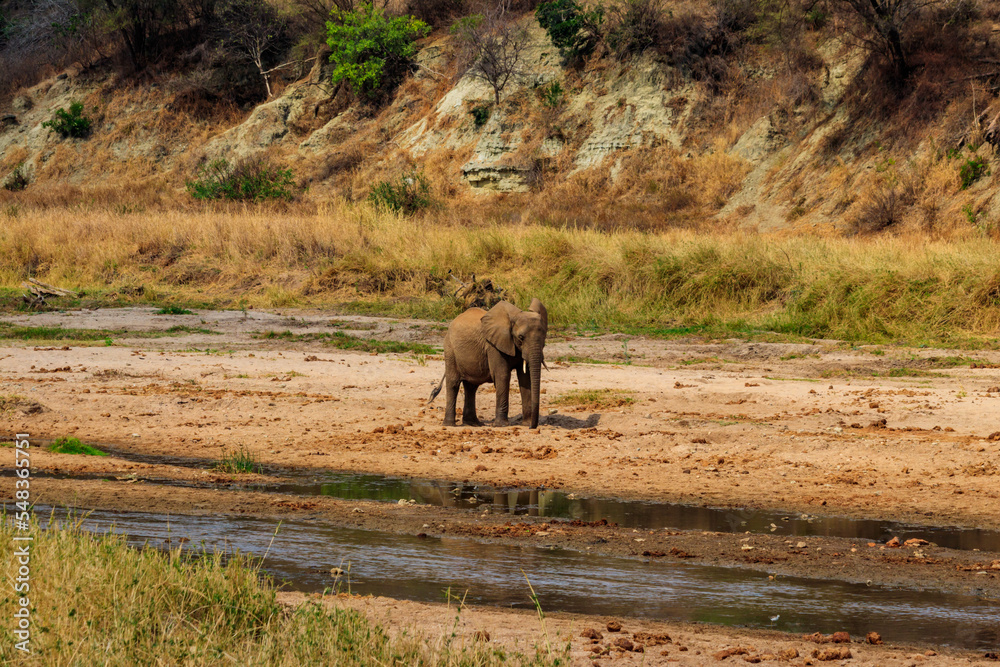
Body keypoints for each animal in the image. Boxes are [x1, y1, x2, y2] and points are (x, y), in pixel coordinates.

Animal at [430, 298, 552, 428]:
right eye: (521, 337)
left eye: (544, 336)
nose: (532, 427)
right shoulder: (493, 346)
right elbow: (502, 376)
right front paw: (502, 425)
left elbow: (525, 378)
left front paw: (526, 424)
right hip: (450, 349)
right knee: (453, 383)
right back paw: (450, 425)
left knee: (471, 386)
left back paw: (473, 424)